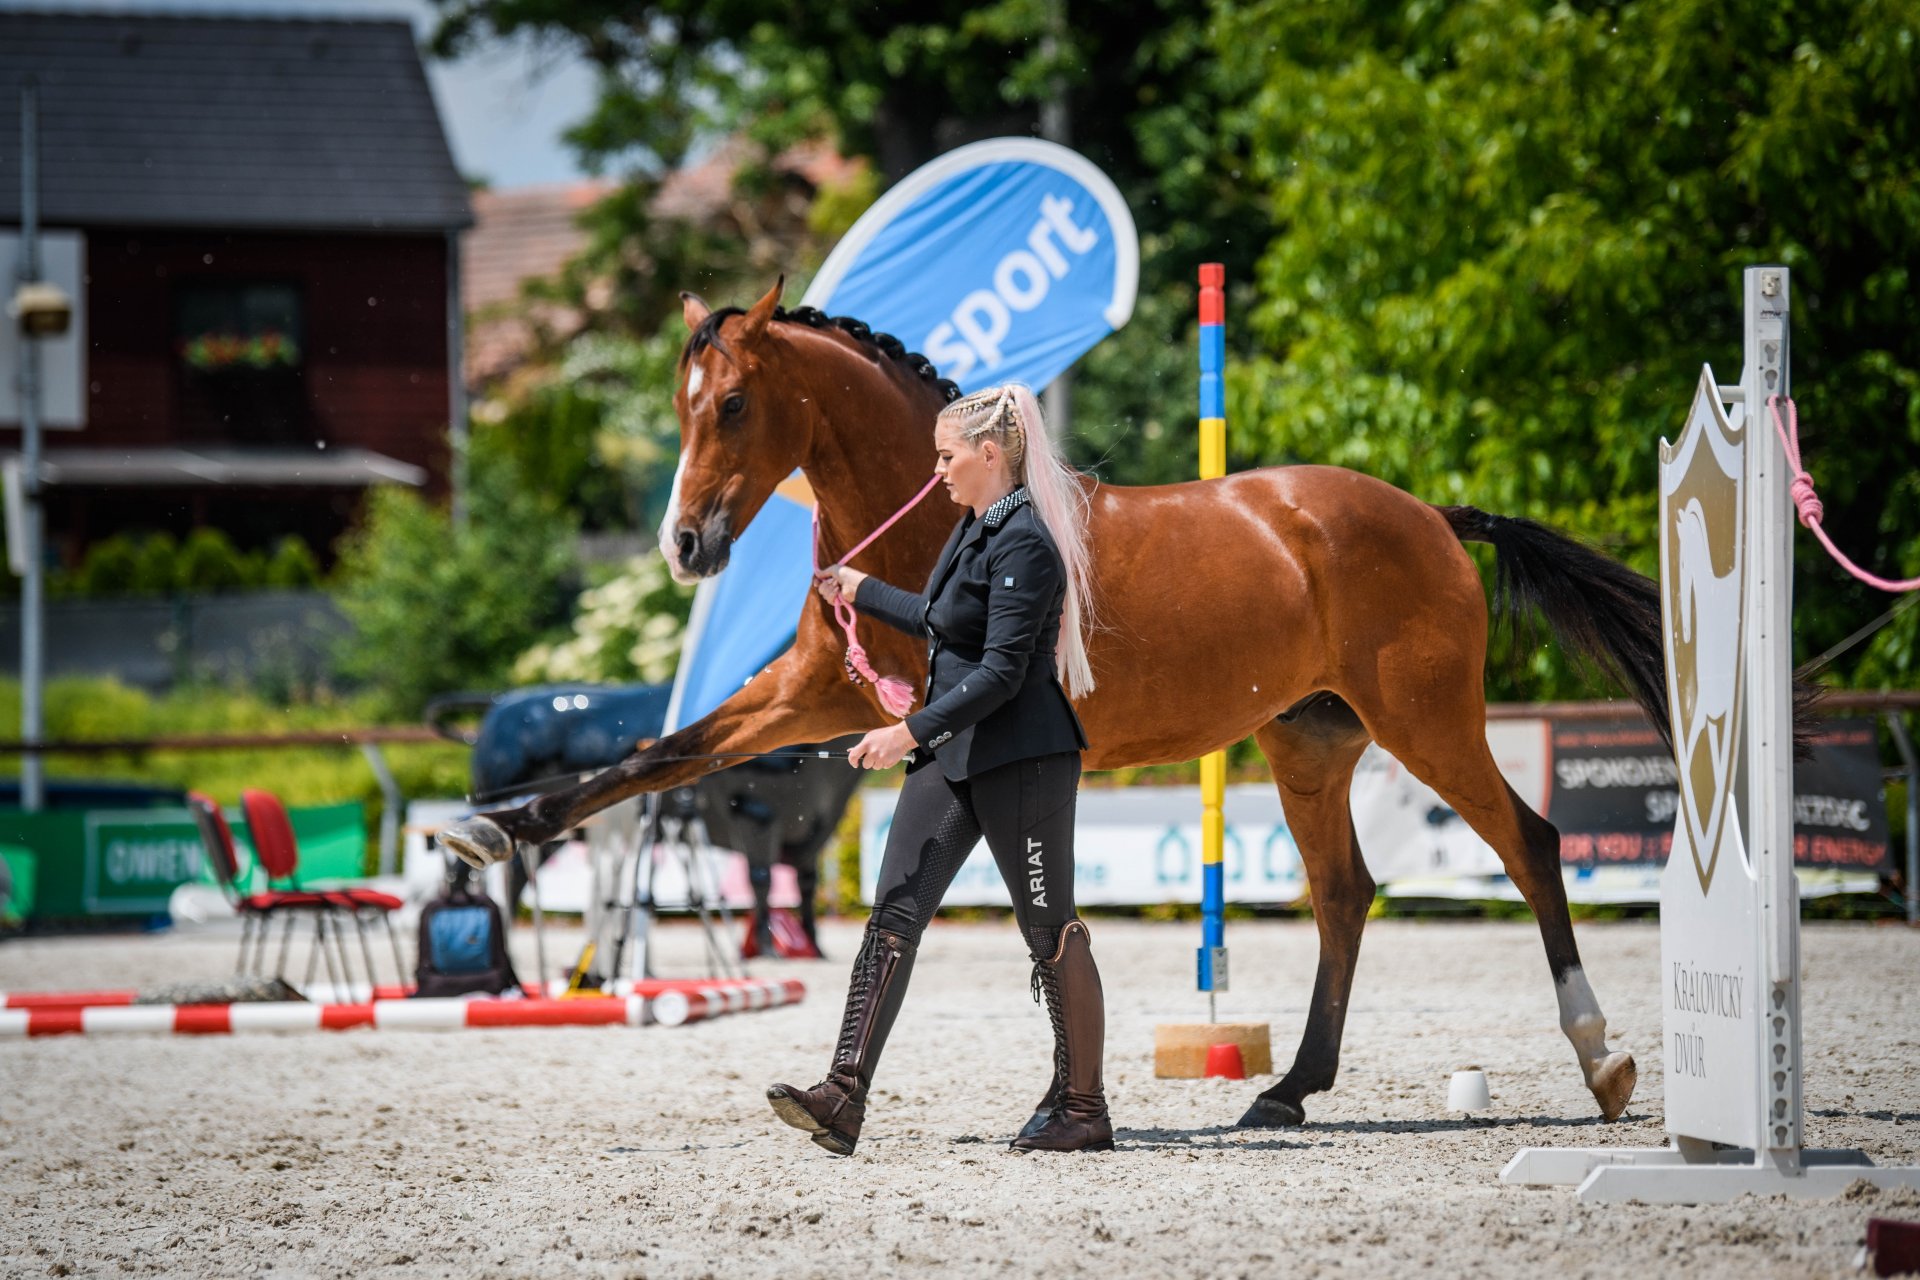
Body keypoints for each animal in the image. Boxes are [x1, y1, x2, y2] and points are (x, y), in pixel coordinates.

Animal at [441, 282, 1674, 1128]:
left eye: (735, 402)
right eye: (680, 405)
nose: (686, 545)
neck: (940, 521)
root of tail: (1430, 515)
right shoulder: (810, 691)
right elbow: (658, 754)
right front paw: (492, 829)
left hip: (1428, 724)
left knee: (1530, 843)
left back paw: (1601, 1058)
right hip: (1311, 745)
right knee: (1344, 893)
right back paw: (1287, 1088)